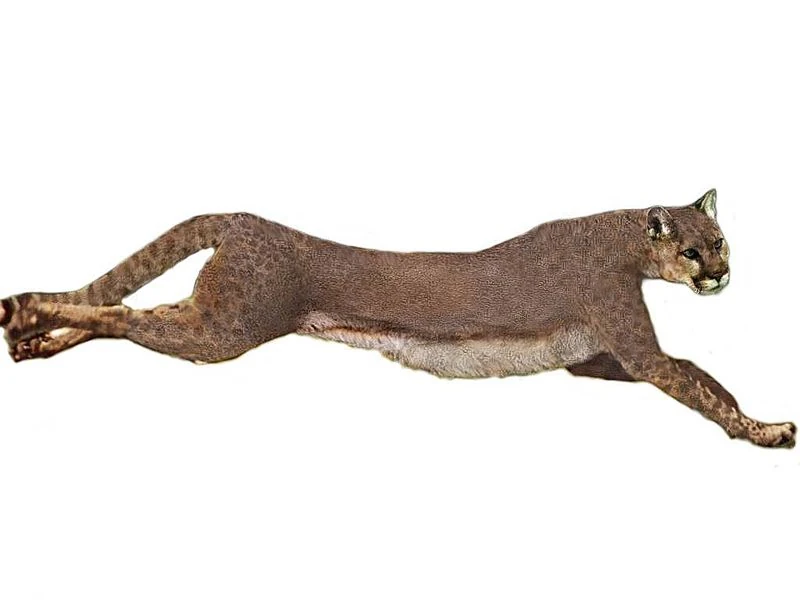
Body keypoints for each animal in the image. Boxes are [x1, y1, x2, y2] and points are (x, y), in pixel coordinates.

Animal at [0, 189, 794, 448]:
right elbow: (696, 384)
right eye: (692, 250)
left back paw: (34, 341)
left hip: (212, 317)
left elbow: (699, 372)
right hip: (225, 330)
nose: (719, 274)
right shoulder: (631, 347)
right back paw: (26, 311)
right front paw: (763, 432)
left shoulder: (598, 358)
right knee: (122, 312)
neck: (625, 242)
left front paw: (756, 416)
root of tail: (247, 219)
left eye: (721, 242)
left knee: (121, 308)